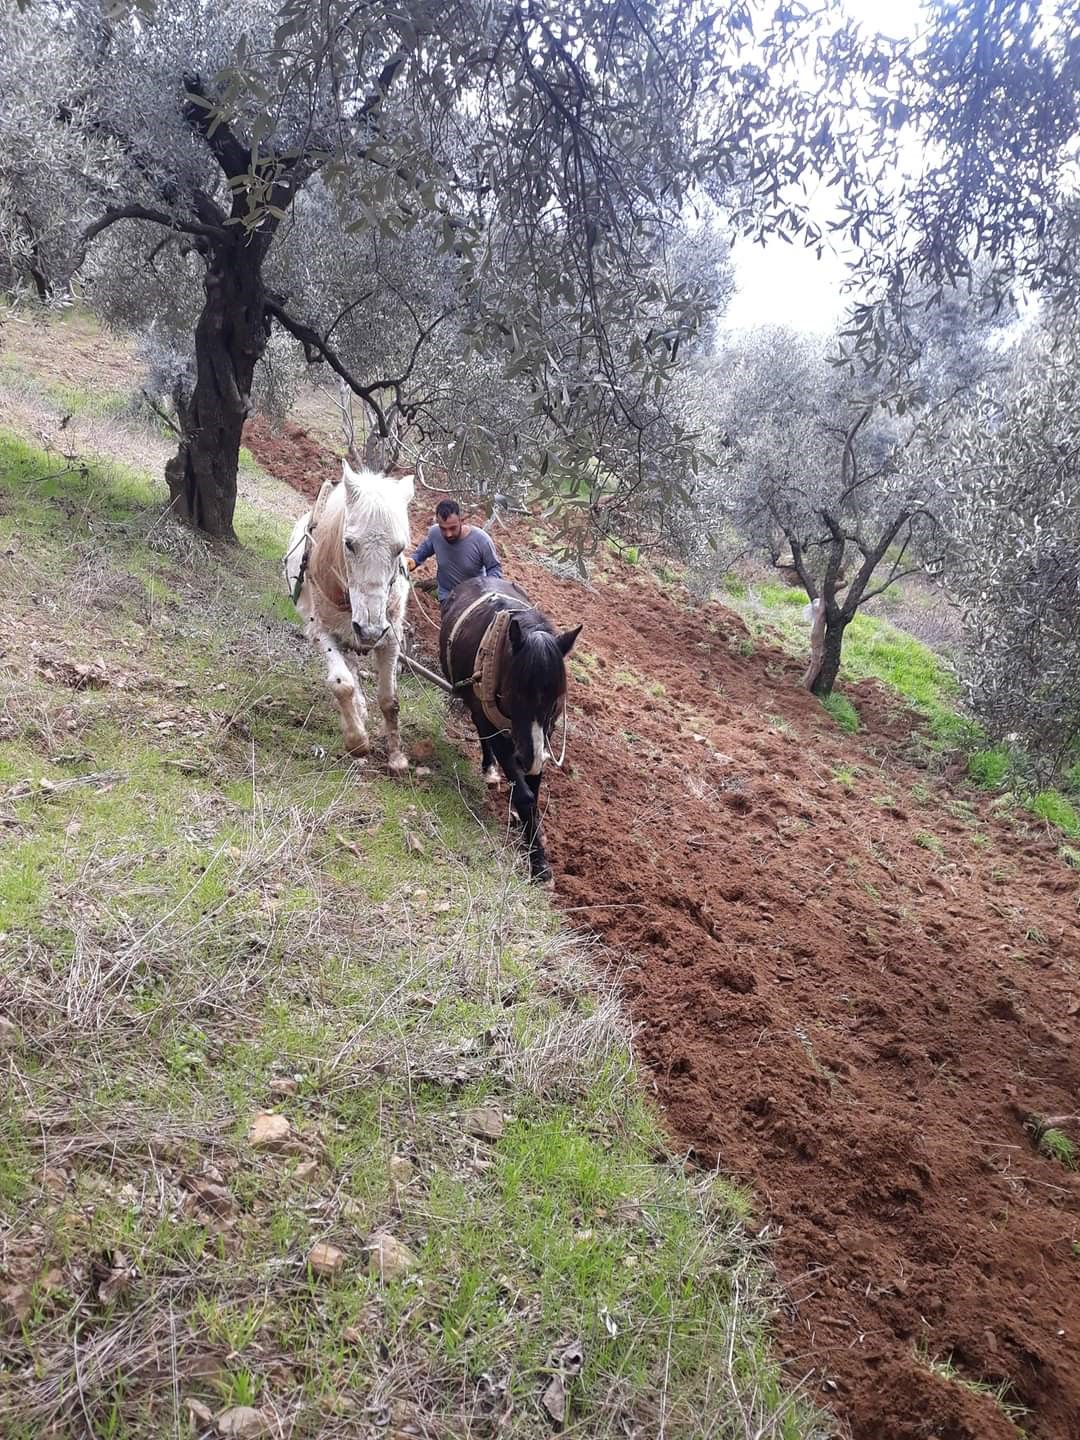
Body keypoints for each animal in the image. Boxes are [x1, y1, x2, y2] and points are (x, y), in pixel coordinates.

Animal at [288, 460, 414, 777]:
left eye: (400, 548)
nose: (369, 630)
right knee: (351, 673)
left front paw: (397, 758)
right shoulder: (322, 632)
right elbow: (341, 683)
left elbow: (389, 700)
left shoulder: (390, 638)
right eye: (349, 544)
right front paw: (357, 741)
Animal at [440, 573, 584, 875]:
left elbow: (534, 790)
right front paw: (538, 863)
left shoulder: (544, 736)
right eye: (514, 693)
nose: (526, 756)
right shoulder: (497, 727)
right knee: (481, 731)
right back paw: (490, 770)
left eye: (556, 701)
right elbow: (525, 795)